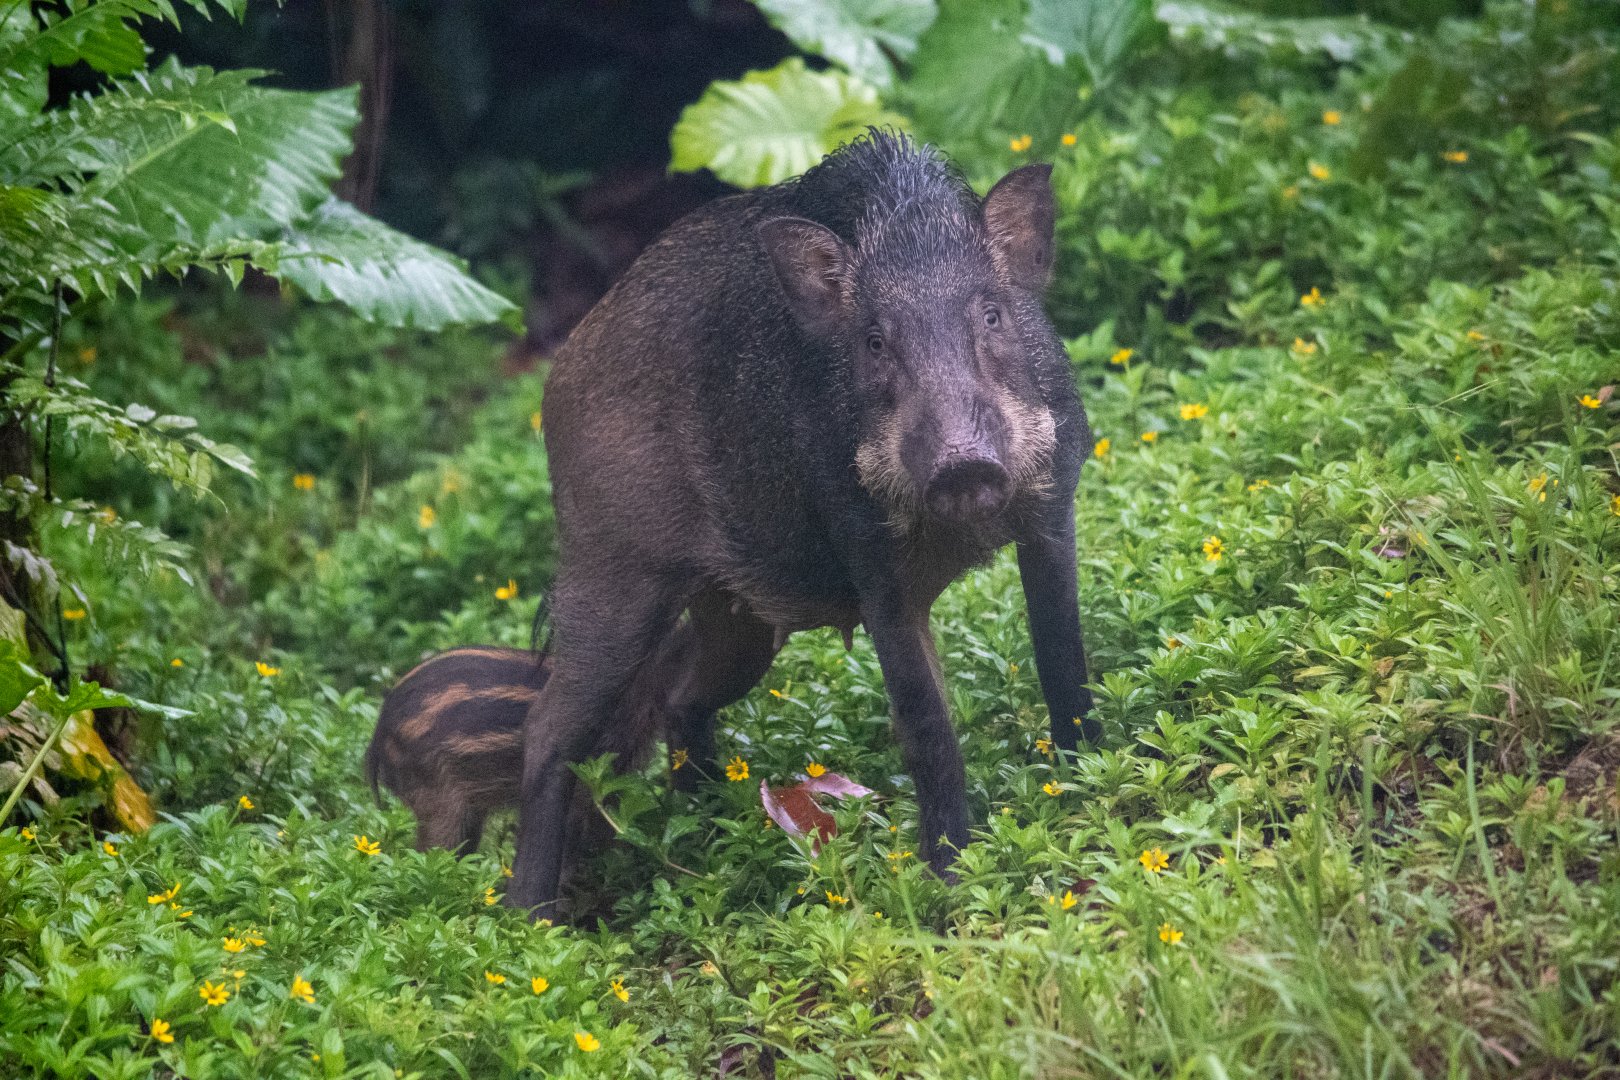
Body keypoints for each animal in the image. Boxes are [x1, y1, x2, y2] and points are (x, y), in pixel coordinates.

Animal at [510, 130, 1095, 917]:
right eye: (874, 341)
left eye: (993, 316)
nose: (963, 466)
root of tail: (559, 372)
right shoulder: (875, 573)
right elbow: (928, 728)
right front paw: (949, 880)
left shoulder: (1050, 515)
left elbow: (1063, 663)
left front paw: (1091, 785)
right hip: (612, 575)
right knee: (546, 732)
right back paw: (530, 920)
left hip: (738, 618)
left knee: (680, 697)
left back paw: (705, 828)